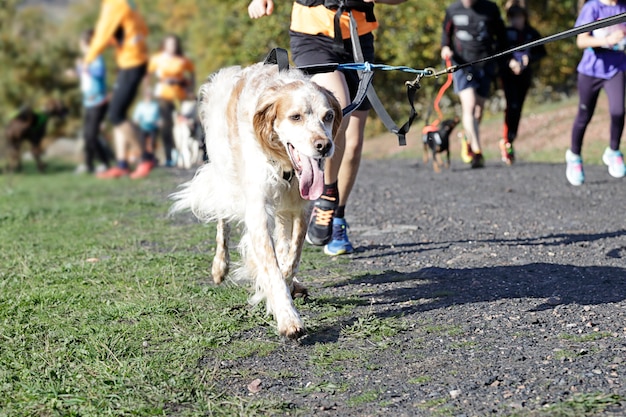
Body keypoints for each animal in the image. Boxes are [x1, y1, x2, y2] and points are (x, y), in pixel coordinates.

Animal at [168, 63, 338, 340]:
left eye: (329, 116)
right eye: (295, 117)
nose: (324, 145)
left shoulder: (300, 207)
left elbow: (291, 258)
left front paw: (285, 288)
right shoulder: (258, 208)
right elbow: (272, 268)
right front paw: (287, 317)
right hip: (225, 173)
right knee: (222, 221)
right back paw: (220, 266)